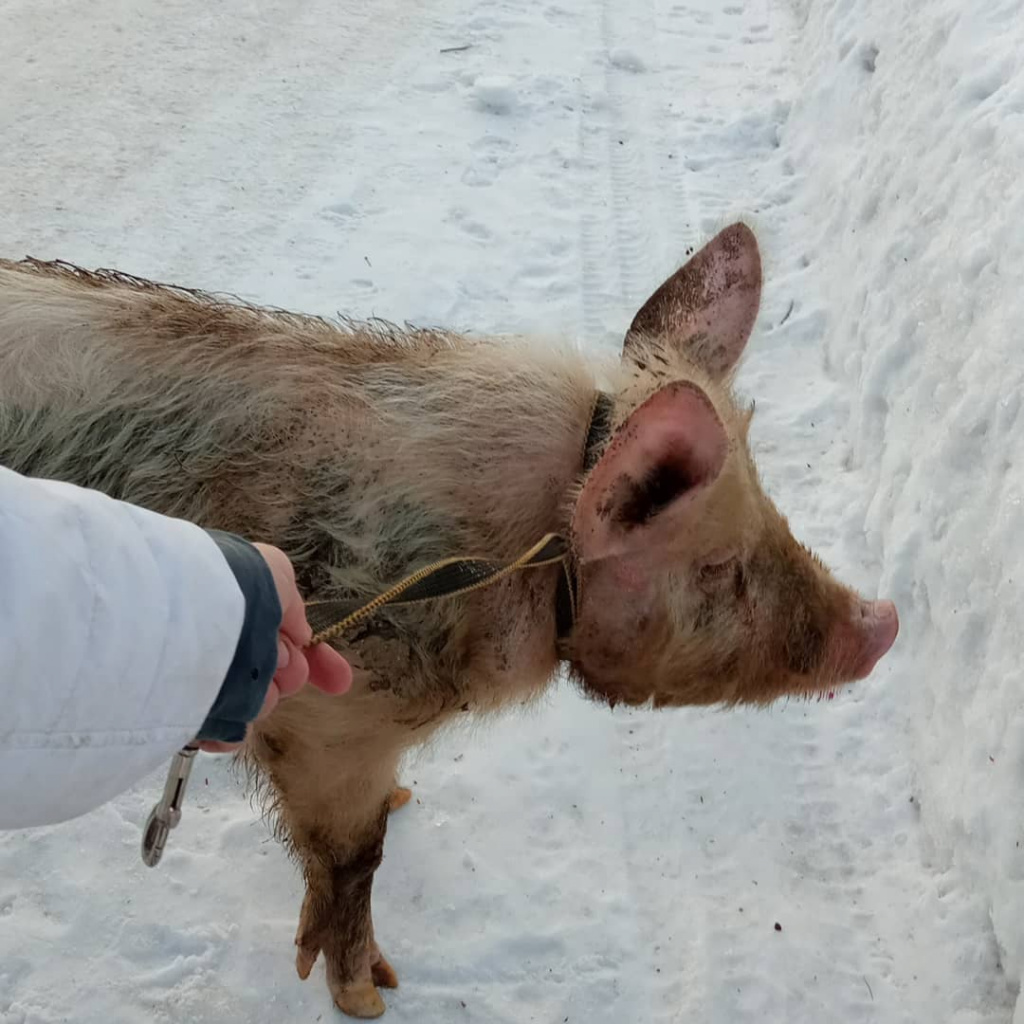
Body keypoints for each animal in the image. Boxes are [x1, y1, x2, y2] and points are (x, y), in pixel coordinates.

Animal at [0, 224, 897, 1015]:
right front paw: (371, 996)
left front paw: (405, 799)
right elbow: (355, 859)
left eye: (773, 515)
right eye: (719, 568)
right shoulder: (327, 724)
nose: (884, 619)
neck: (522, 560)